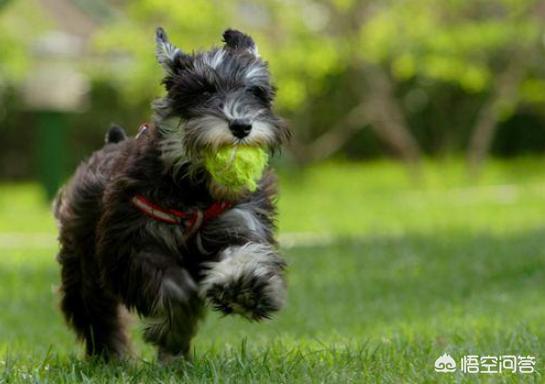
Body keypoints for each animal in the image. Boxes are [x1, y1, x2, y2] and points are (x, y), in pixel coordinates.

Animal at [53, 27, 292, 360]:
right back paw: (113, 357)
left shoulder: (239, 222)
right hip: (83, 266)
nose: (241, 125)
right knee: (95, 313)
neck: (193, 189)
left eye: (255, 91)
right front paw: (176, 324)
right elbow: (170, 288)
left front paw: (244, 288)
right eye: (203, 91)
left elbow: (244, 253)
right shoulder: (134, 244)